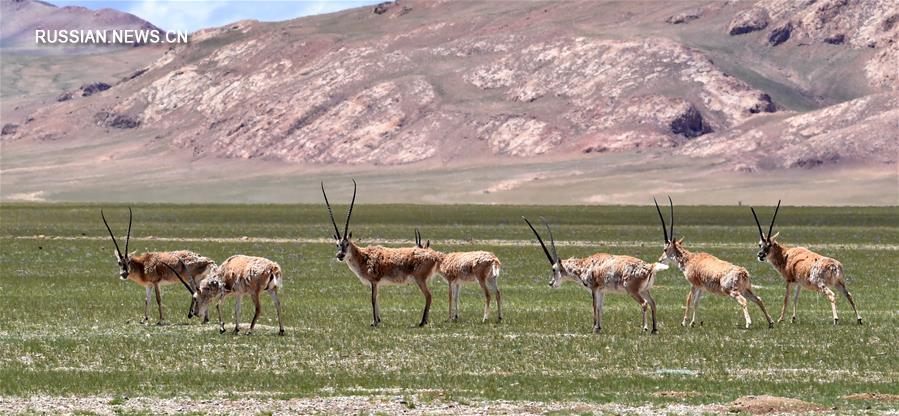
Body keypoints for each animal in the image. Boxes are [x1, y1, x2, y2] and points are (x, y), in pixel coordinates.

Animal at [322, 180, 442, 326]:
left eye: (347, 244)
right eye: (337, 244)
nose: (340, 255)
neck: (363, 256)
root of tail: (434, 256)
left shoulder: (374, 281)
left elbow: (373, 300)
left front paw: (374, 322)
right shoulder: (377, 284)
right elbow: (377, 299)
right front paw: (378, 320)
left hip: (420, 280)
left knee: (429, 296)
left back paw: (422, 322)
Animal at [524, 216, 664, 334]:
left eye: (554, 269)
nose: (551, 283)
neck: (585, 265)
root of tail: (650, 267)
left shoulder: (594, 288)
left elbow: (594, 306)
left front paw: (594, 327)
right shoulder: (602, 291)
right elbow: (600, 307)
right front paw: (599, 327)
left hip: (633, 291)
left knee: (644, 304)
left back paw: (644, 328)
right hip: (645, 290)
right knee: (653, 303)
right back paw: (654, 329)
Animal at [652, 197, 772, 330]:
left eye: (665, 249)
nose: (660, 259)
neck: (690, 259)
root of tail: (743, 272)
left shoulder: (694, 284)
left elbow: (689, 300)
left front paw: (684, 322)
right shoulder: (702, 287)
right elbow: (696, 302)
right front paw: (693, 322)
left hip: (733, 291)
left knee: (743, 301)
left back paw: (748, 323)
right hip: (746, 290)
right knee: (758, 299)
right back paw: (770, 322)